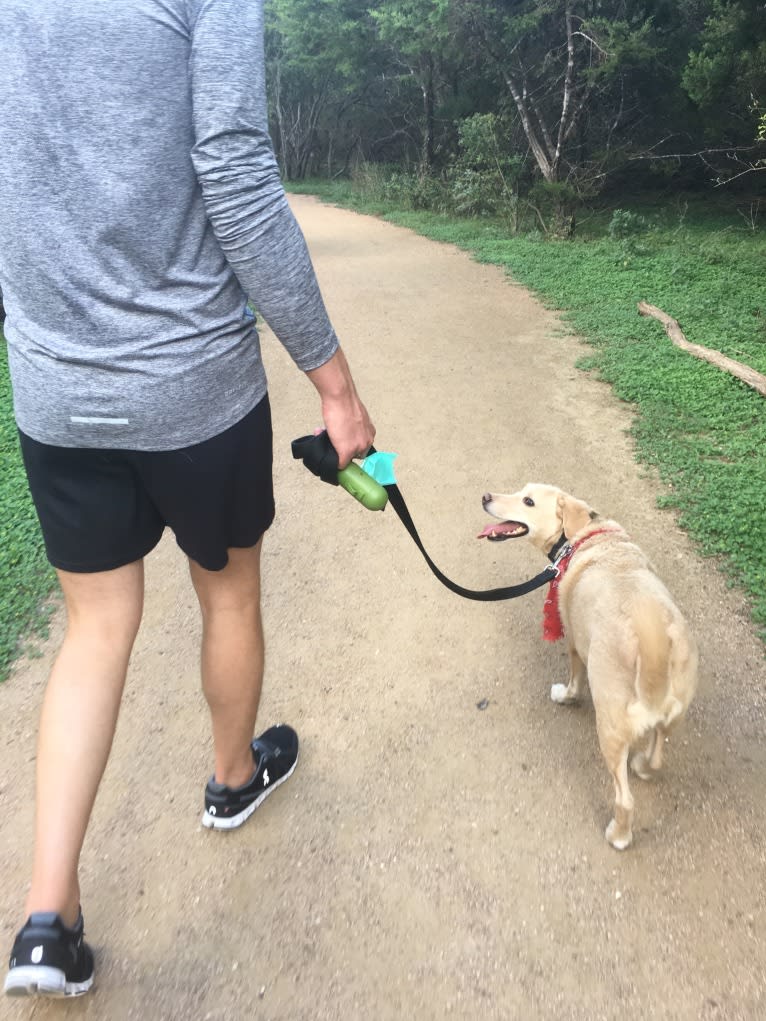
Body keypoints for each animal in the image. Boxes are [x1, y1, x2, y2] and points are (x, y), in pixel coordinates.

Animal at [480, 481, 702, 849]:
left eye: (528, 501)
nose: (485, 497)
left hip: (610, 727)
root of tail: (652, 644)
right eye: (522, 490)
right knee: (657, 757)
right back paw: (643, 765)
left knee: (625, 799)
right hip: (673, 715)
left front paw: (565, 696)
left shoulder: (573, 640)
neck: (583, 535)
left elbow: (574, 680)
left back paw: (619, 836)